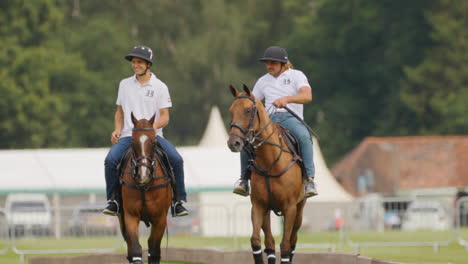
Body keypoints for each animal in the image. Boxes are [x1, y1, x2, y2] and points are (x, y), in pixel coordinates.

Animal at [119, 113, 172, 264]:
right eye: (132, 142)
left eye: (154, 142)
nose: (143, 175)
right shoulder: (130, 216)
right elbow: (136, 249)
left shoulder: (160, 218)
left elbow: (154, 251)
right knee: (130, 250)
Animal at [228, 84, 308, 264]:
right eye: (231, 111)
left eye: (248, 110)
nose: (233, 143)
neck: (270, 162)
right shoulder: (258, 205)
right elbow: (256, 241)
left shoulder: (290, 208)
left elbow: (285, 246)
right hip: (268, 210)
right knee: (270, 243)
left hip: (300, 209)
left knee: (292, 241)